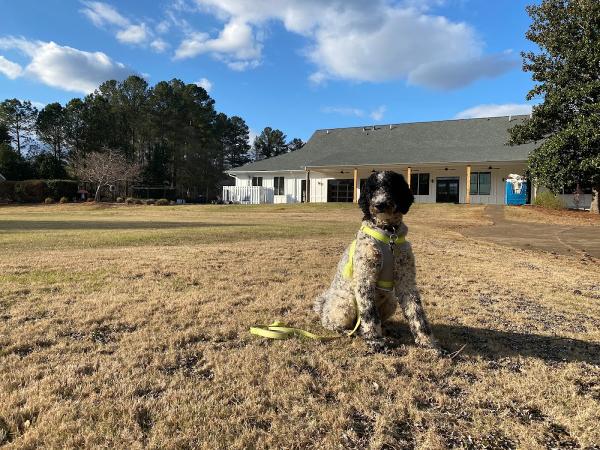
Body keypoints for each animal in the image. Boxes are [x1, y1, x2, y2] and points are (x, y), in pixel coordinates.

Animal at [312, 171, 438, 350]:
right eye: (371, 189)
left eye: (391, 186)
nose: (380, 204)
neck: (388, 233)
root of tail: (323, 305)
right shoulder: (365, 279)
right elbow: (369, 314)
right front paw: (375, 340)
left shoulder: (406, 280)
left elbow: (416, 312)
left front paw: (427, 341)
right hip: (346, 302)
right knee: (331, 323)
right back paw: (350, 332)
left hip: (391, 301)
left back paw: (386, 330)